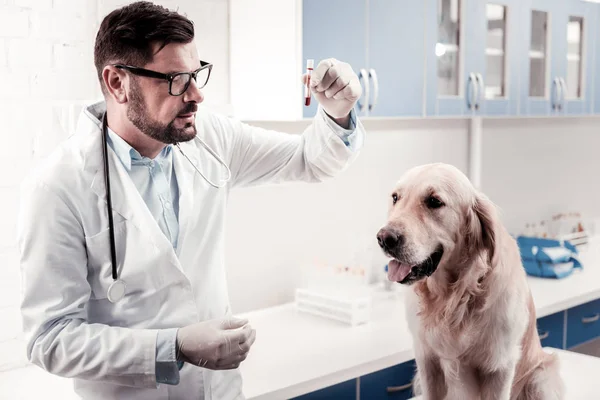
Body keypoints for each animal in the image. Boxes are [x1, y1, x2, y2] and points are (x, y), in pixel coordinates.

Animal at [376, 163, 564, 400]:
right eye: (395, 197)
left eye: (434, 201)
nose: (384, 238)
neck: (454, 298)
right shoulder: (427, 362)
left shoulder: (499, 367)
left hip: (541, 378)